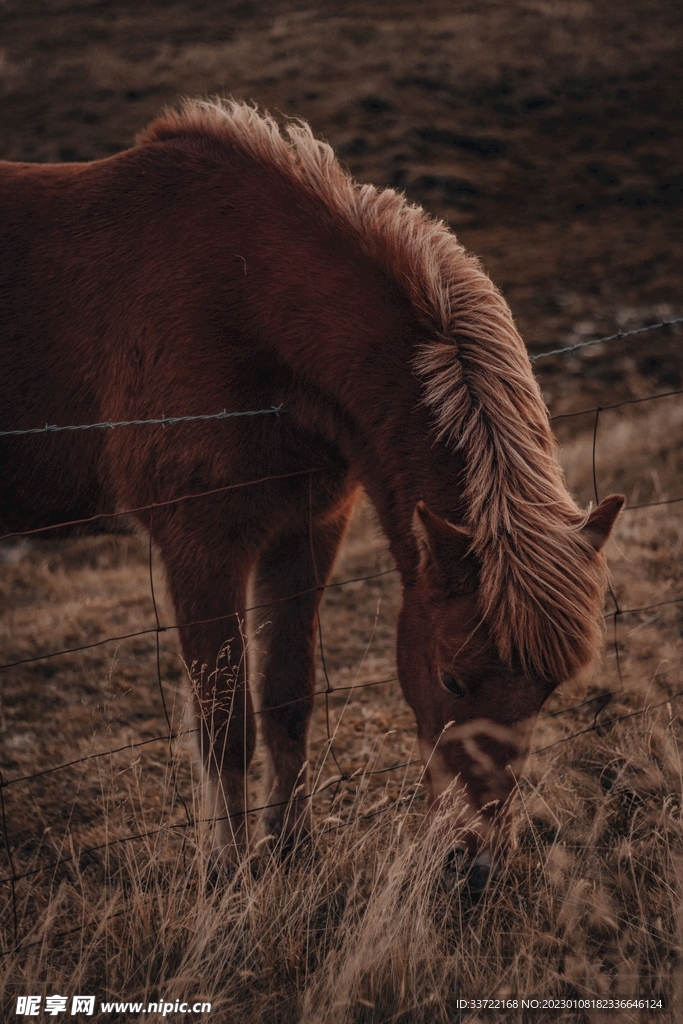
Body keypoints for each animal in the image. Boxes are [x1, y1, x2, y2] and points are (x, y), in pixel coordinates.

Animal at [0, 99, 623, 887]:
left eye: (546, 689)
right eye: (452, 680)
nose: (477, 863)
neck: (242, 302)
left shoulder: (306, 527)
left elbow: (286, 699)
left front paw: (292, 848)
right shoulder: (200, 547)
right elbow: (224, 722)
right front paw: (230, 874)